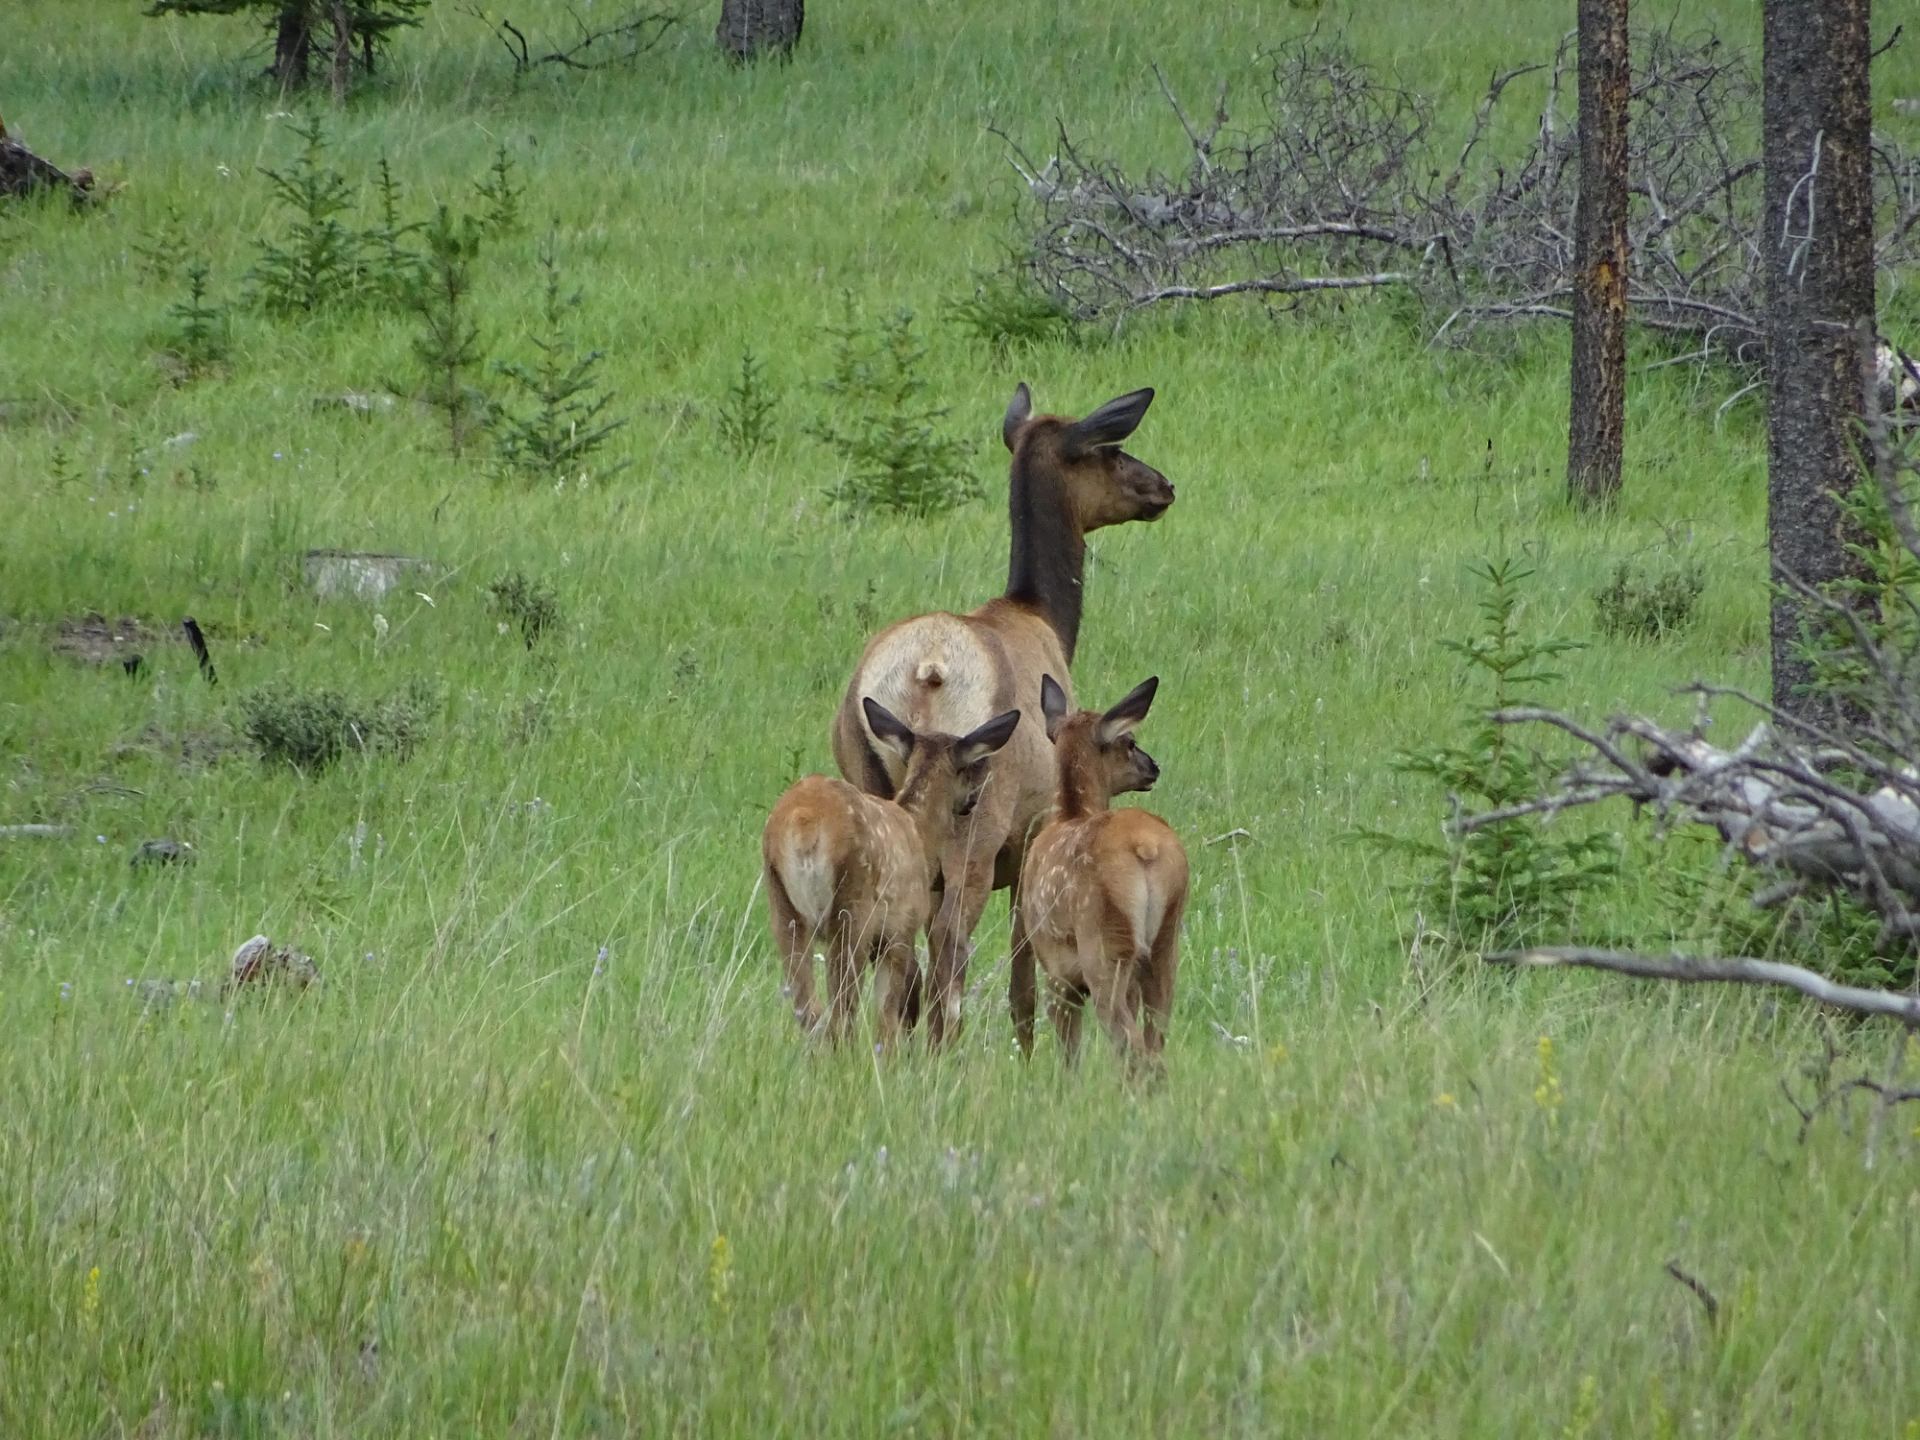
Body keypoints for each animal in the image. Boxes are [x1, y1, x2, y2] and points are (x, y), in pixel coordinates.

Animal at [764, 700, 1021, 1050]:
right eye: (971, 768)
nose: (972, 800)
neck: (919, 832)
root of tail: (804, 823)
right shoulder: (900, 929)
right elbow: (888, 1017)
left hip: (782, 906)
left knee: (810, 1010)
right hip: (852, 910)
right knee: (841, 1011)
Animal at [830, 383, 1176, 1051]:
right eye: (1111, 448)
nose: (1163, 486)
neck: (1044, 618)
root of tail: (927, 669)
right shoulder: (1031, 834)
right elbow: (1024, 982)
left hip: (872, 790)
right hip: (979, 822)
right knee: (948, 945)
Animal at [1018, 675, 1188, 1075]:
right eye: (1131, 742)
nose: (1153, 767)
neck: (1071, 814)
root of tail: (1146, 848)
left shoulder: (1055, 969)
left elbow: (1070, 1054)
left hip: (1104, 941)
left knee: (1131, 1046)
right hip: (1165, 940)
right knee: (1154, 1044)